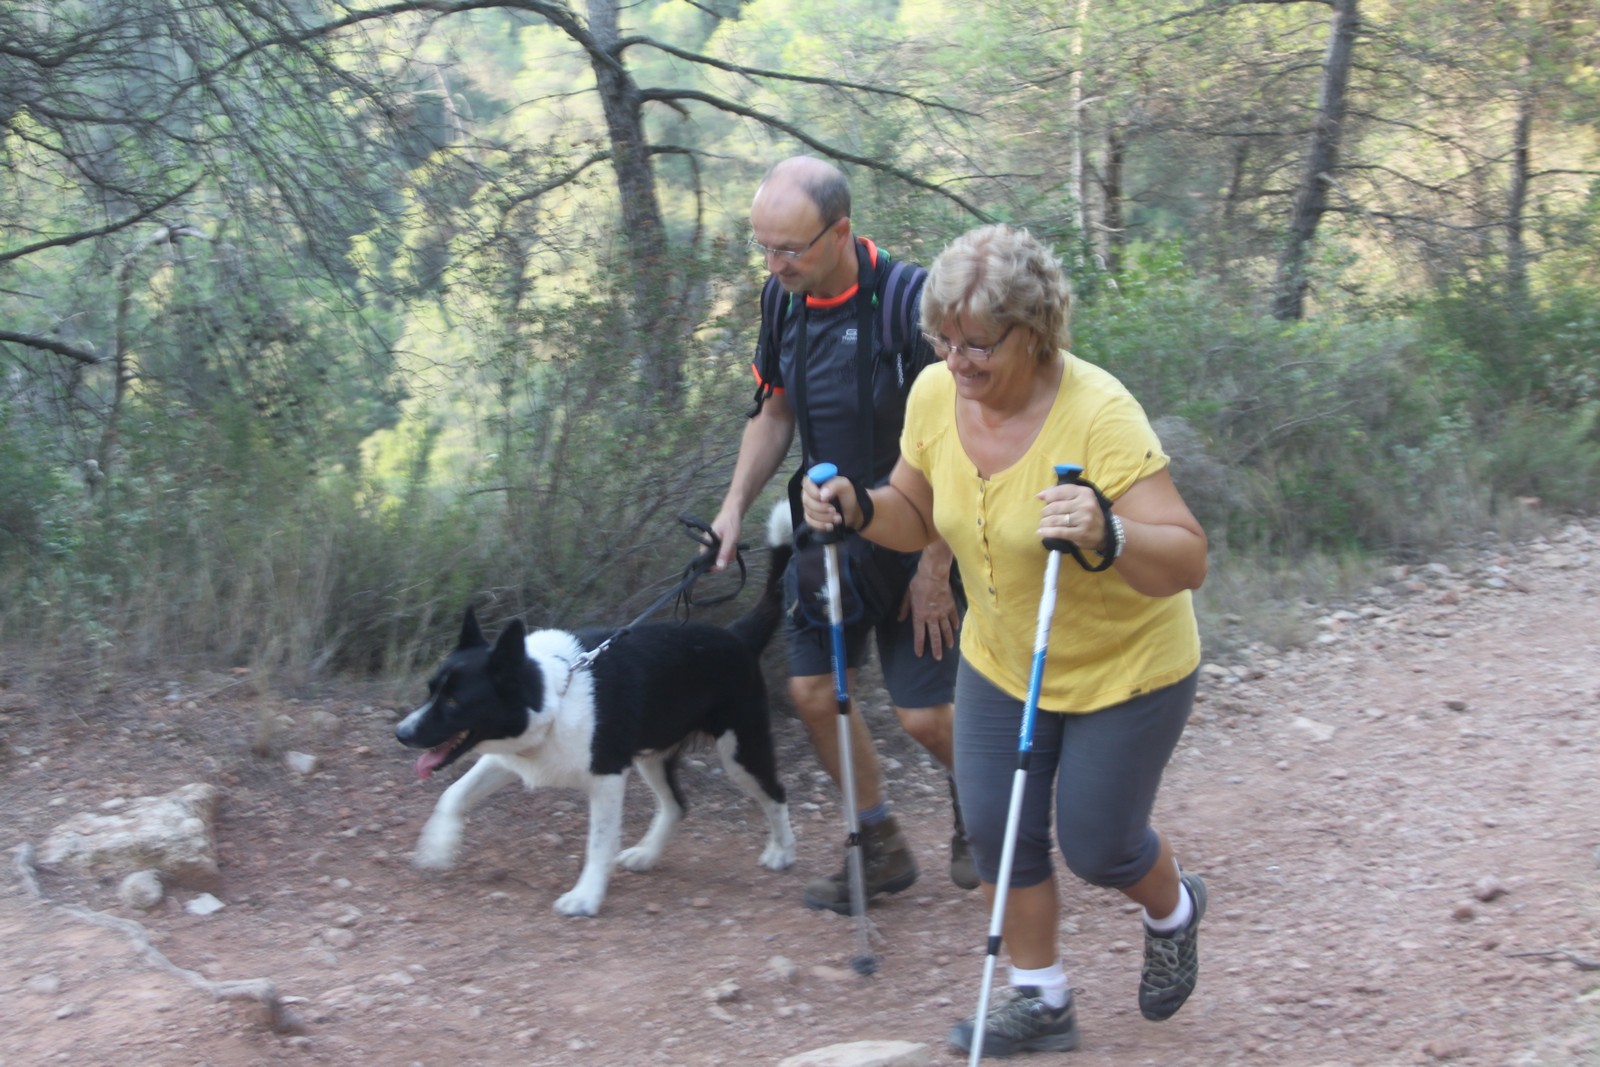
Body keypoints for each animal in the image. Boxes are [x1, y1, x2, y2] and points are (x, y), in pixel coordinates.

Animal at [395, 503, 796, 917]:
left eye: (454, 702)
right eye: (431, 691)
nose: (402, 733)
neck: (553, 692)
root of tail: (739, 636)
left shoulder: (607, 777)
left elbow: (599, 842)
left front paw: (585, 897)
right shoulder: (508, 756)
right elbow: (452, 795)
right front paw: (437, 848)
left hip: (740, 752)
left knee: (776, 793)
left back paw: (781, 851)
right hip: (652, 755)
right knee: (677, 805)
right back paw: (647, 854)